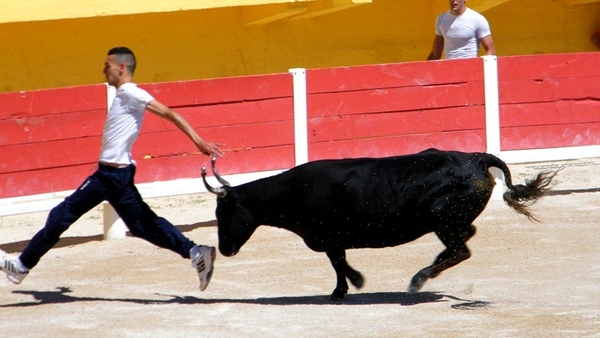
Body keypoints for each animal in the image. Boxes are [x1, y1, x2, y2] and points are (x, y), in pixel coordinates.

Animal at [203, 149, 556, 300]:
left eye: (224, 214)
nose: (225, 249)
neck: (292, 192)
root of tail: (476, 158)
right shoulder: (330, 240)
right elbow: (338, 263)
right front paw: (342, 289)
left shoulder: (328, 238)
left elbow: (339, 263)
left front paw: (349, 286)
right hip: (449, 222)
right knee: (463, 242)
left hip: (442, 217)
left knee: (461, 250)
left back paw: (418, 280)